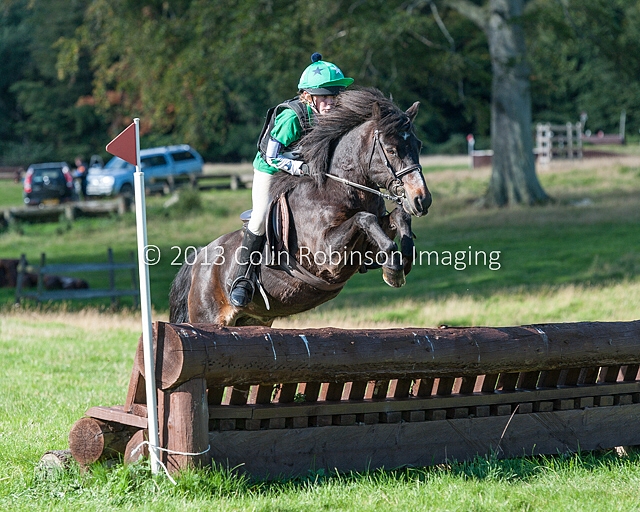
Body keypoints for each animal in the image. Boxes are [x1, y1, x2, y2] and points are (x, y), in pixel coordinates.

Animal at [169, 87, 431, 326]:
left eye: (418, 145)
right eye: (391, 150)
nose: (422, 199)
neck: (340, 188)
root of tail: (197, 261)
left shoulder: (367, 246)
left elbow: (398, 217)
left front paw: (403, 258)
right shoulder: (328, 256)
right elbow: (364, 218)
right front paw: (394, 269)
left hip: (251, 320)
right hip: (207, 317)